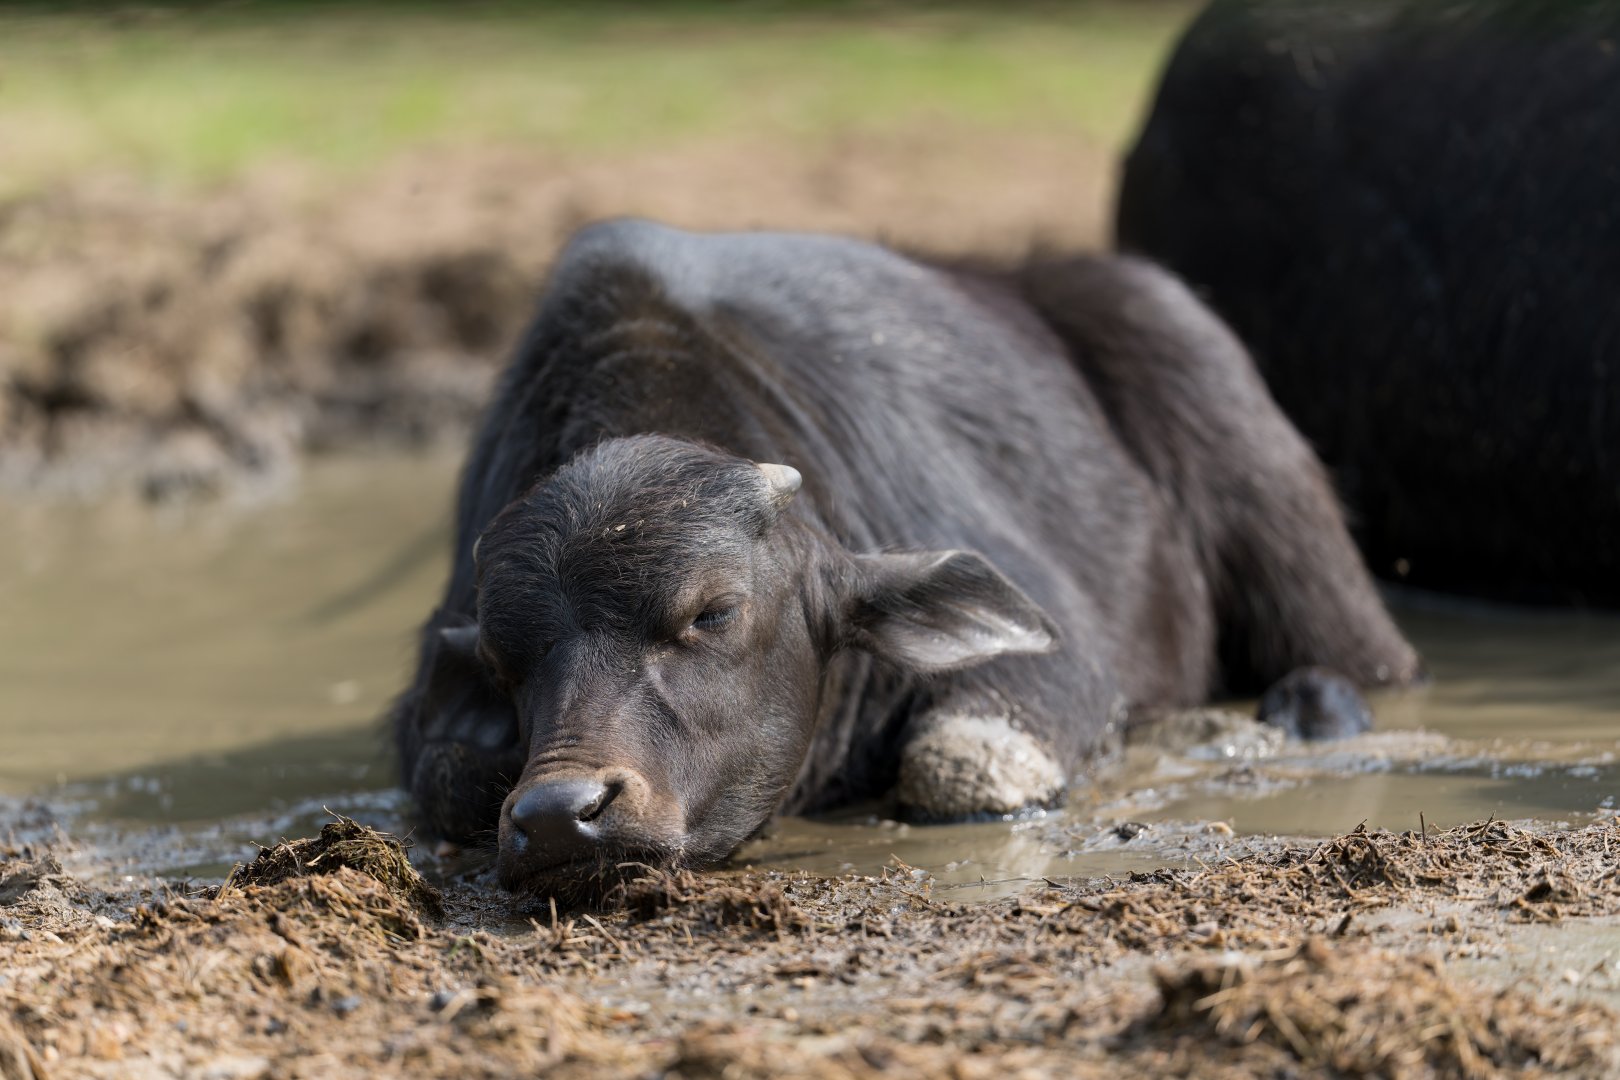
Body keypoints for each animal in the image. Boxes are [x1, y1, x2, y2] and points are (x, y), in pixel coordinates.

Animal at [391, 219, 1420, 899]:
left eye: (713, 612)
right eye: (501, 660)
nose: (561, 810)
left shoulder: (1063, 667)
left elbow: (962, 761)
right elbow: (447, 776)